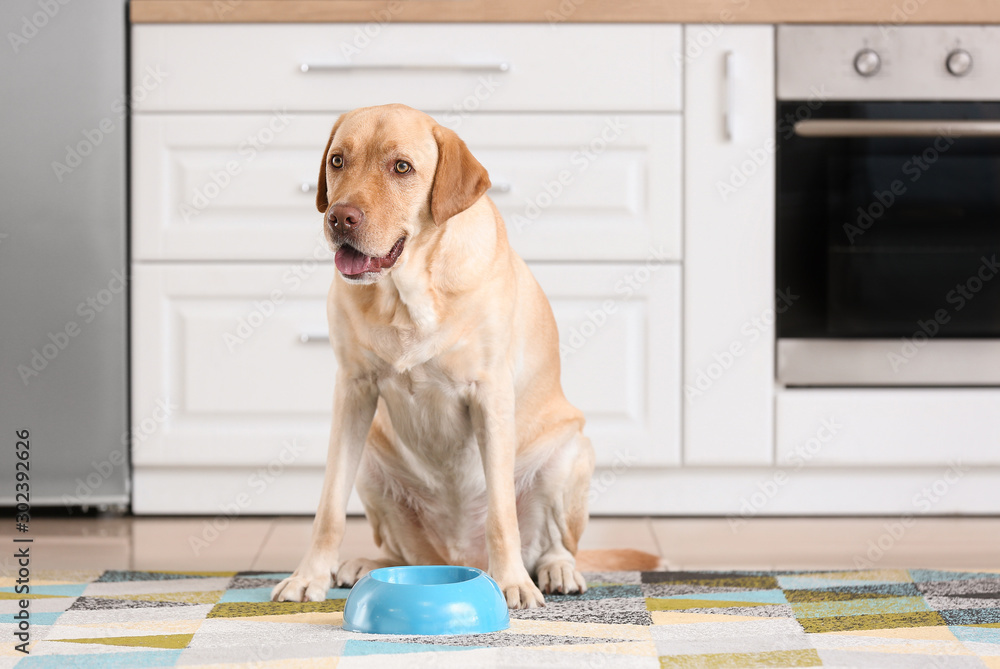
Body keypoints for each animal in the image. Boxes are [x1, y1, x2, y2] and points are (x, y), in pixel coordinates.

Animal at [270, 102, 588, 608]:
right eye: (337, 161)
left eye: (402, 167)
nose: (339, 218)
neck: (407, 291)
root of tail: (461, 557)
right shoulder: (352, 390)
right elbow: (329, 507)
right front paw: (309, 576)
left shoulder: (490, 394)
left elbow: (502, 513)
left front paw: (514, 583)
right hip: (373, 463)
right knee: (405, 554)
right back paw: (367, 564)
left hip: (570, 451)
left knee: (555, 542)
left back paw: (554, 570)